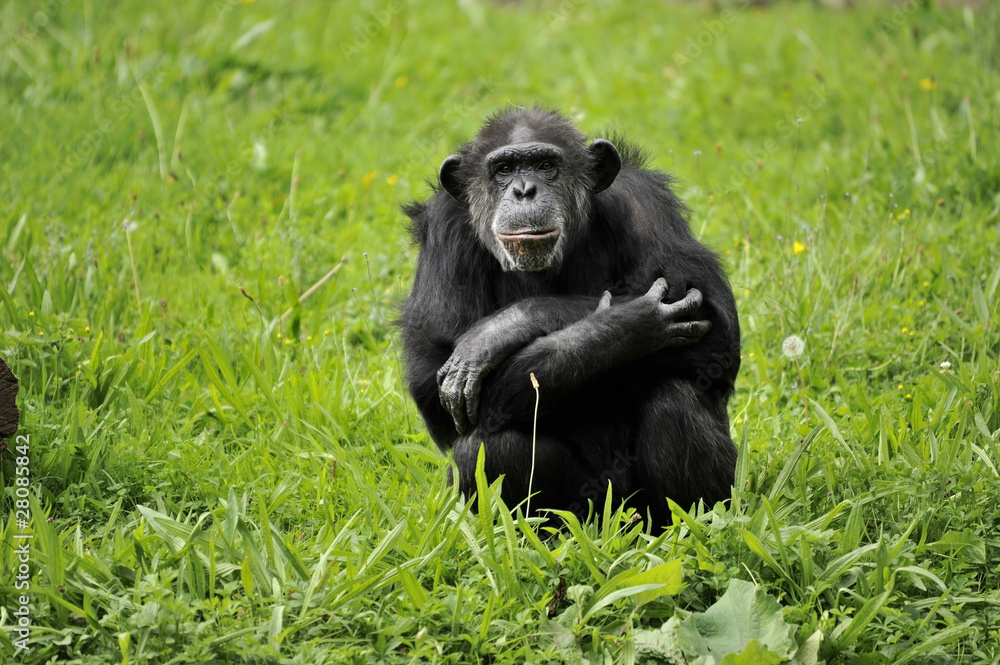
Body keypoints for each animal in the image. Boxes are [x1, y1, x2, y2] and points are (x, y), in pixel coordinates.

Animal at [400, 106, 744, 528]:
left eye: (546, 165)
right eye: (504, 169)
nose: (524, 190)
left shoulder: (644, 202)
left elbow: (715, 324)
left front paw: (503, 328)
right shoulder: (444, 232)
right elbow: (430, 378)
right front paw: (627, 323)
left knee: (675, 399)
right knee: (489, 447)